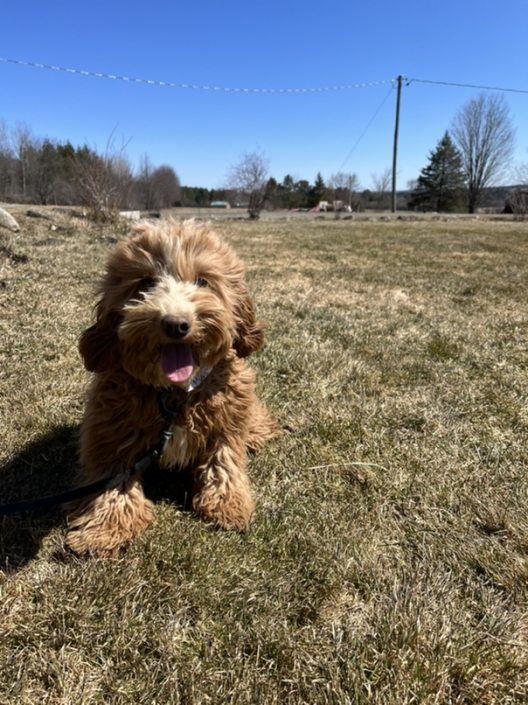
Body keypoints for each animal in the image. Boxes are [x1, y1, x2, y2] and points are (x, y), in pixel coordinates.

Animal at [66, 217, 280, 552]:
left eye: (203, 282)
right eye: (146, 283)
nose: (176, 324)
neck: (176, 394)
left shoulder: (228, 417)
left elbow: (224, 458)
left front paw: (227, 504)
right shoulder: (110, 427)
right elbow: (111, 476)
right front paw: (104, 528)